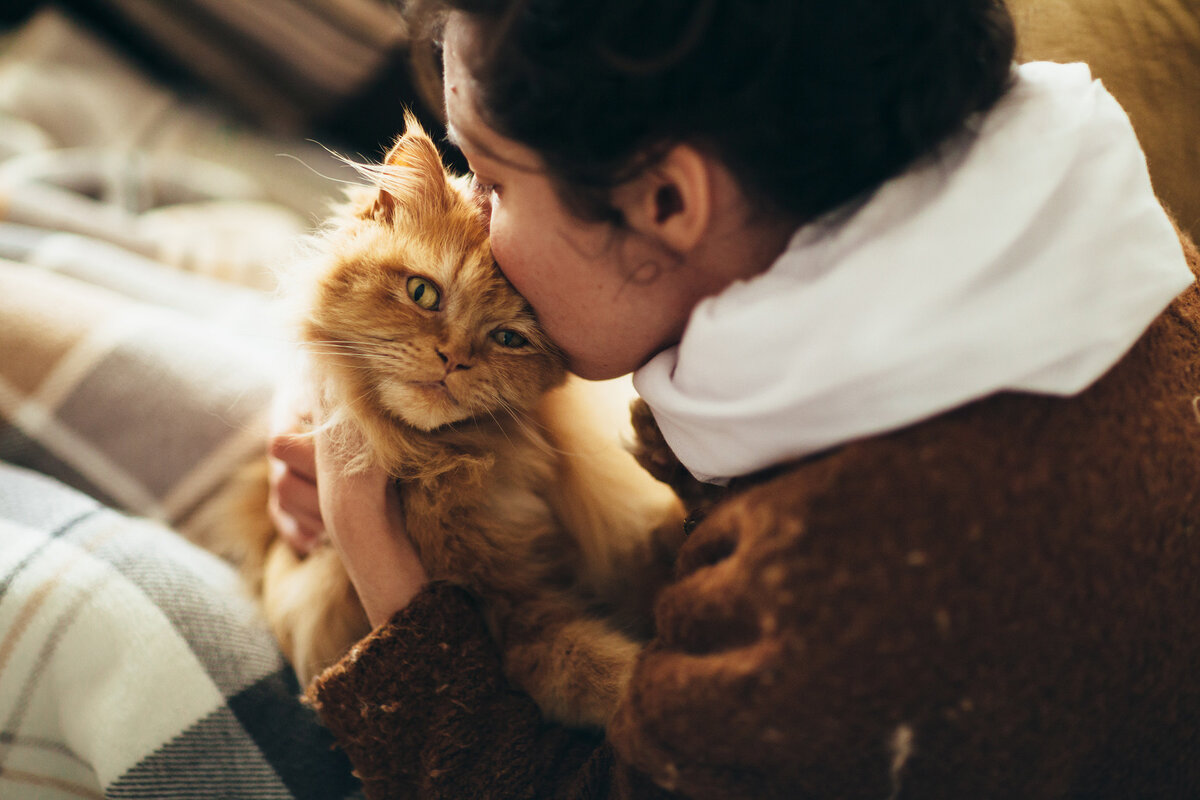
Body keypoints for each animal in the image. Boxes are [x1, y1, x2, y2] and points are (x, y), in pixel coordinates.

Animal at [223, 115, 686, 729]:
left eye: (508, 339)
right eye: (423, 292)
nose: (454, 359)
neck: (446, 470)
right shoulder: (509, 617)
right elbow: (598, 670)